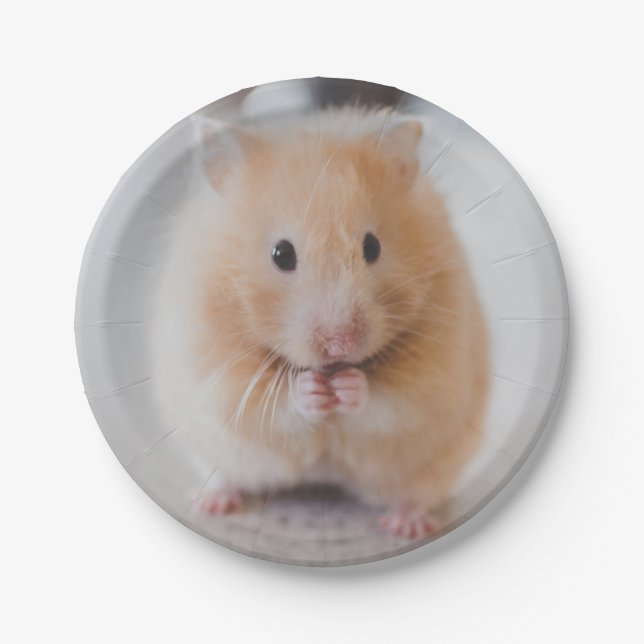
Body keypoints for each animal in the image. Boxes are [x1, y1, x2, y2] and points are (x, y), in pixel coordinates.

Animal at [150, 107, 489, 539]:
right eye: (281, 254)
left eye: (372, 246)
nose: (340, 344)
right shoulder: (214, 371)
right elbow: (270, 403)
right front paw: (312, 390)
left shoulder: (436, 372)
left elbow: (392, 401)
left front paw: (347, 387)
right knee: (226, 475)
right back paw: (210, 503)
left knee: (416, 495)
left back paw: (407, 526)